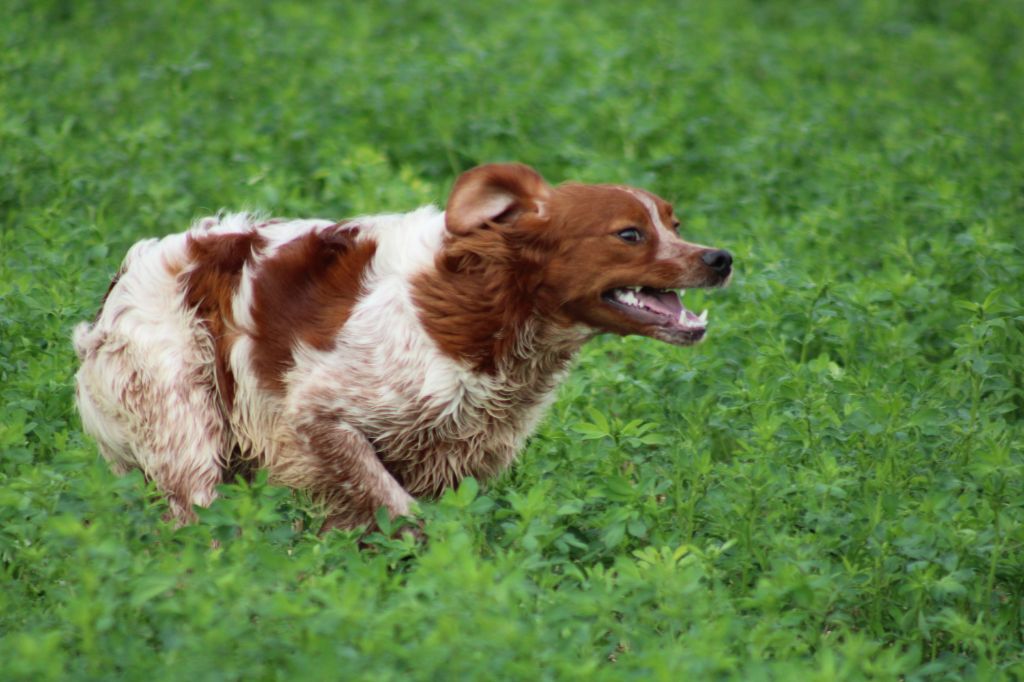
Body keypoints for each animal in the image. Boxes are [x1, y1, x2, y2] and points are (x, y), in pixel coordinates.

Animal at [72, 161, 733, 528]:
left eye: (673, 224)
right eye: (630, 234)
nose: (720, 258)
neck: (487, 308)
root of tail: (118, 285)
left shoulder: (459, 458)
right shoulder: (319, 416)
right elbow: (396, 509)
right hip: (187, 429)